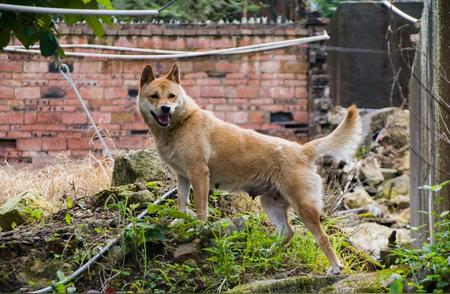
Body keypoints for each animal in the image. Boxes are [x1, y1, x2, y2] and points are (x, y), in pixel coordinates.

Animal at [138, 62, 362, 276]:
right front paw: (179, 221)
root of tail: (302, 150)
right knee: (288, 232)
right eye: (154, 96)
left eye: (172, 96)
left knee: (322, 237)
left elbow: (201, 209)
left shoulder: (199, 173)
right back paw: (269, 252)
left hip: (303, 206)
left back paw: (335, 267)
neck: (181, 123)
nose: (165, 108)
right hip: (270, 204)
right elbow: (182, 203)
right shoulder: (183, 176)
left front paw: (198, 229)